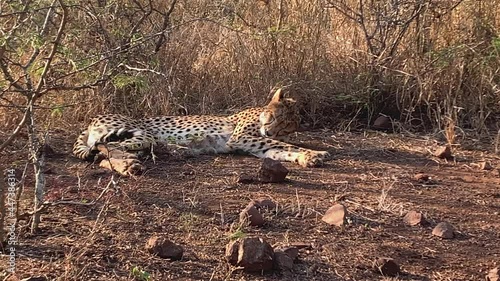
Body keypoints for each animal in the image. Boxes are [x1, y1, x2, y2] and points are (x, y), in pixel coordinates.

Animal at [73, 88, 328, 174]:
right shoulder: (240, 137)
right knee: (106, 147)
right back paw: (130, 164)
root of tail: (93, 118)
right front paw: (316, 153)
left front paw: (309, 157)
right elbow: (284, 145)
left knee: (103, 152)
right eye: (274, 117)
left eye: (285, 126)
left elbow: (282, 149)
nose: (270, 130)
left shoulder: (255, 144)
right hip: (140, 133)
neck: (259, 114)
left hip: (142, 140)